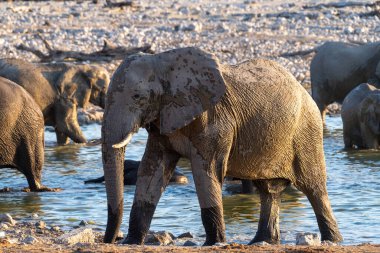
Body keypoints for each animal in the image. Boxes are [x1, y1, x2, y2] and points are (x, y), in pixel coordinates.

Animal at [101, 47, 342, 245]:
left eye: (137, 97)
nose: (110, 240)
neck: (162, 61)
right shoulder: (164, 119)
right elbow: (151, 170)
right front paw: (132, 242)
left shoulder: (214, 120)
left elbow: (205, 171)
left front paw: (213, 243)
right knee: (269, 190)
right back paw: (262, 241)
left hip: (306, 132)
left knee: (314, 188)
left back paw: (333, 240)